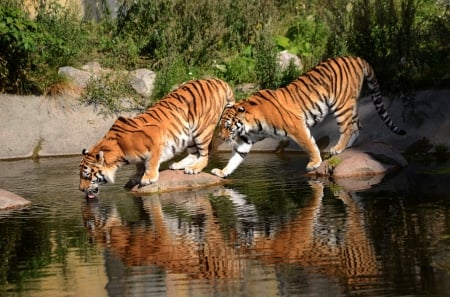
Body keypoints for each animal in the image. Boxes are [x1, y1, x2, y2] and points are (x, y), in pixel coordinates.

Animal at [80, 78, 234, 198]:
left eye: (87, 176)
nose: (81, 189)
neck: (119, 153)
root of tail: (219, 81)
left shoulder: (155, 138)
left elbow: (151, 162)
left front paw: (148, 178)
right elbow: (139, 164)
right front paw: (137, 176)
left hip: (202, 129)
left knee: (204, 154)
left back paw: (194, 168)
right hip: (190, 135)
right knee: (194, 153)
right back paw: (178, 165)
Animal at [213, 55, 406, 177]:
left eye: (227, 126)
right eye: (221, 126)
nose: (221, 137)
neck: (250, 124)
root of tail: (355, 58)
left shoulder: (296, 126)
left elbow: (309, 144)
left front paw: (314, 163)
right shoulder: (247, 140)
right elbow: (236, 158)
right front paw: (222, 172)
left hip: (341, 105)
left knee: (348, 126)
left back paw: (337, 148)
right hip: (350, 104)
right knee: (357, 125)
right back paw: (347, 147)